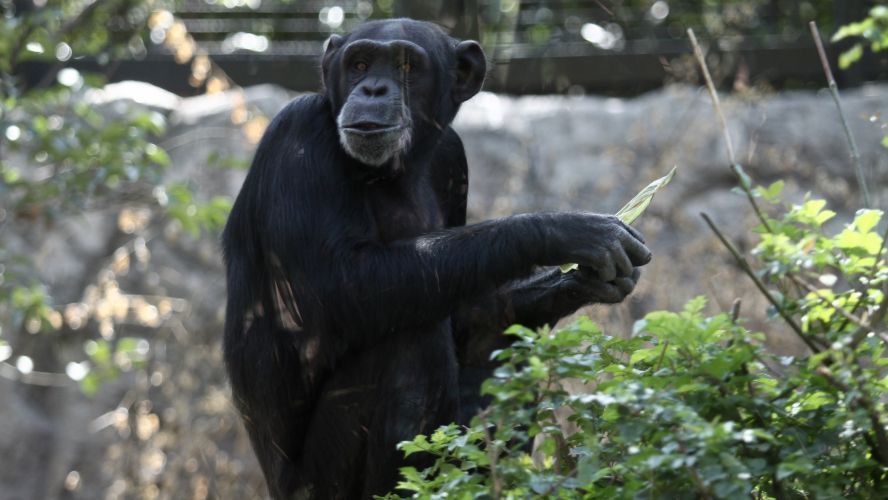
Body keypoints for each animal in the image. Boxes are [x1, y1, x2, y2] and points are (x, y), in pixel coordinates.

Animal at [222, 17, 652, 498]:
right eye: (360, 63)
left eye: (406, 66)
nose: (373, 88)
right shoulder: (297, 135)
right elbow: (333, 285)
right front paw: (563, 230)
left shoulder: (452, 156)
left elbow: (466, 308)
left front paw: (573, 283)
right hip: (316, 487)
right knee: (409, 341)